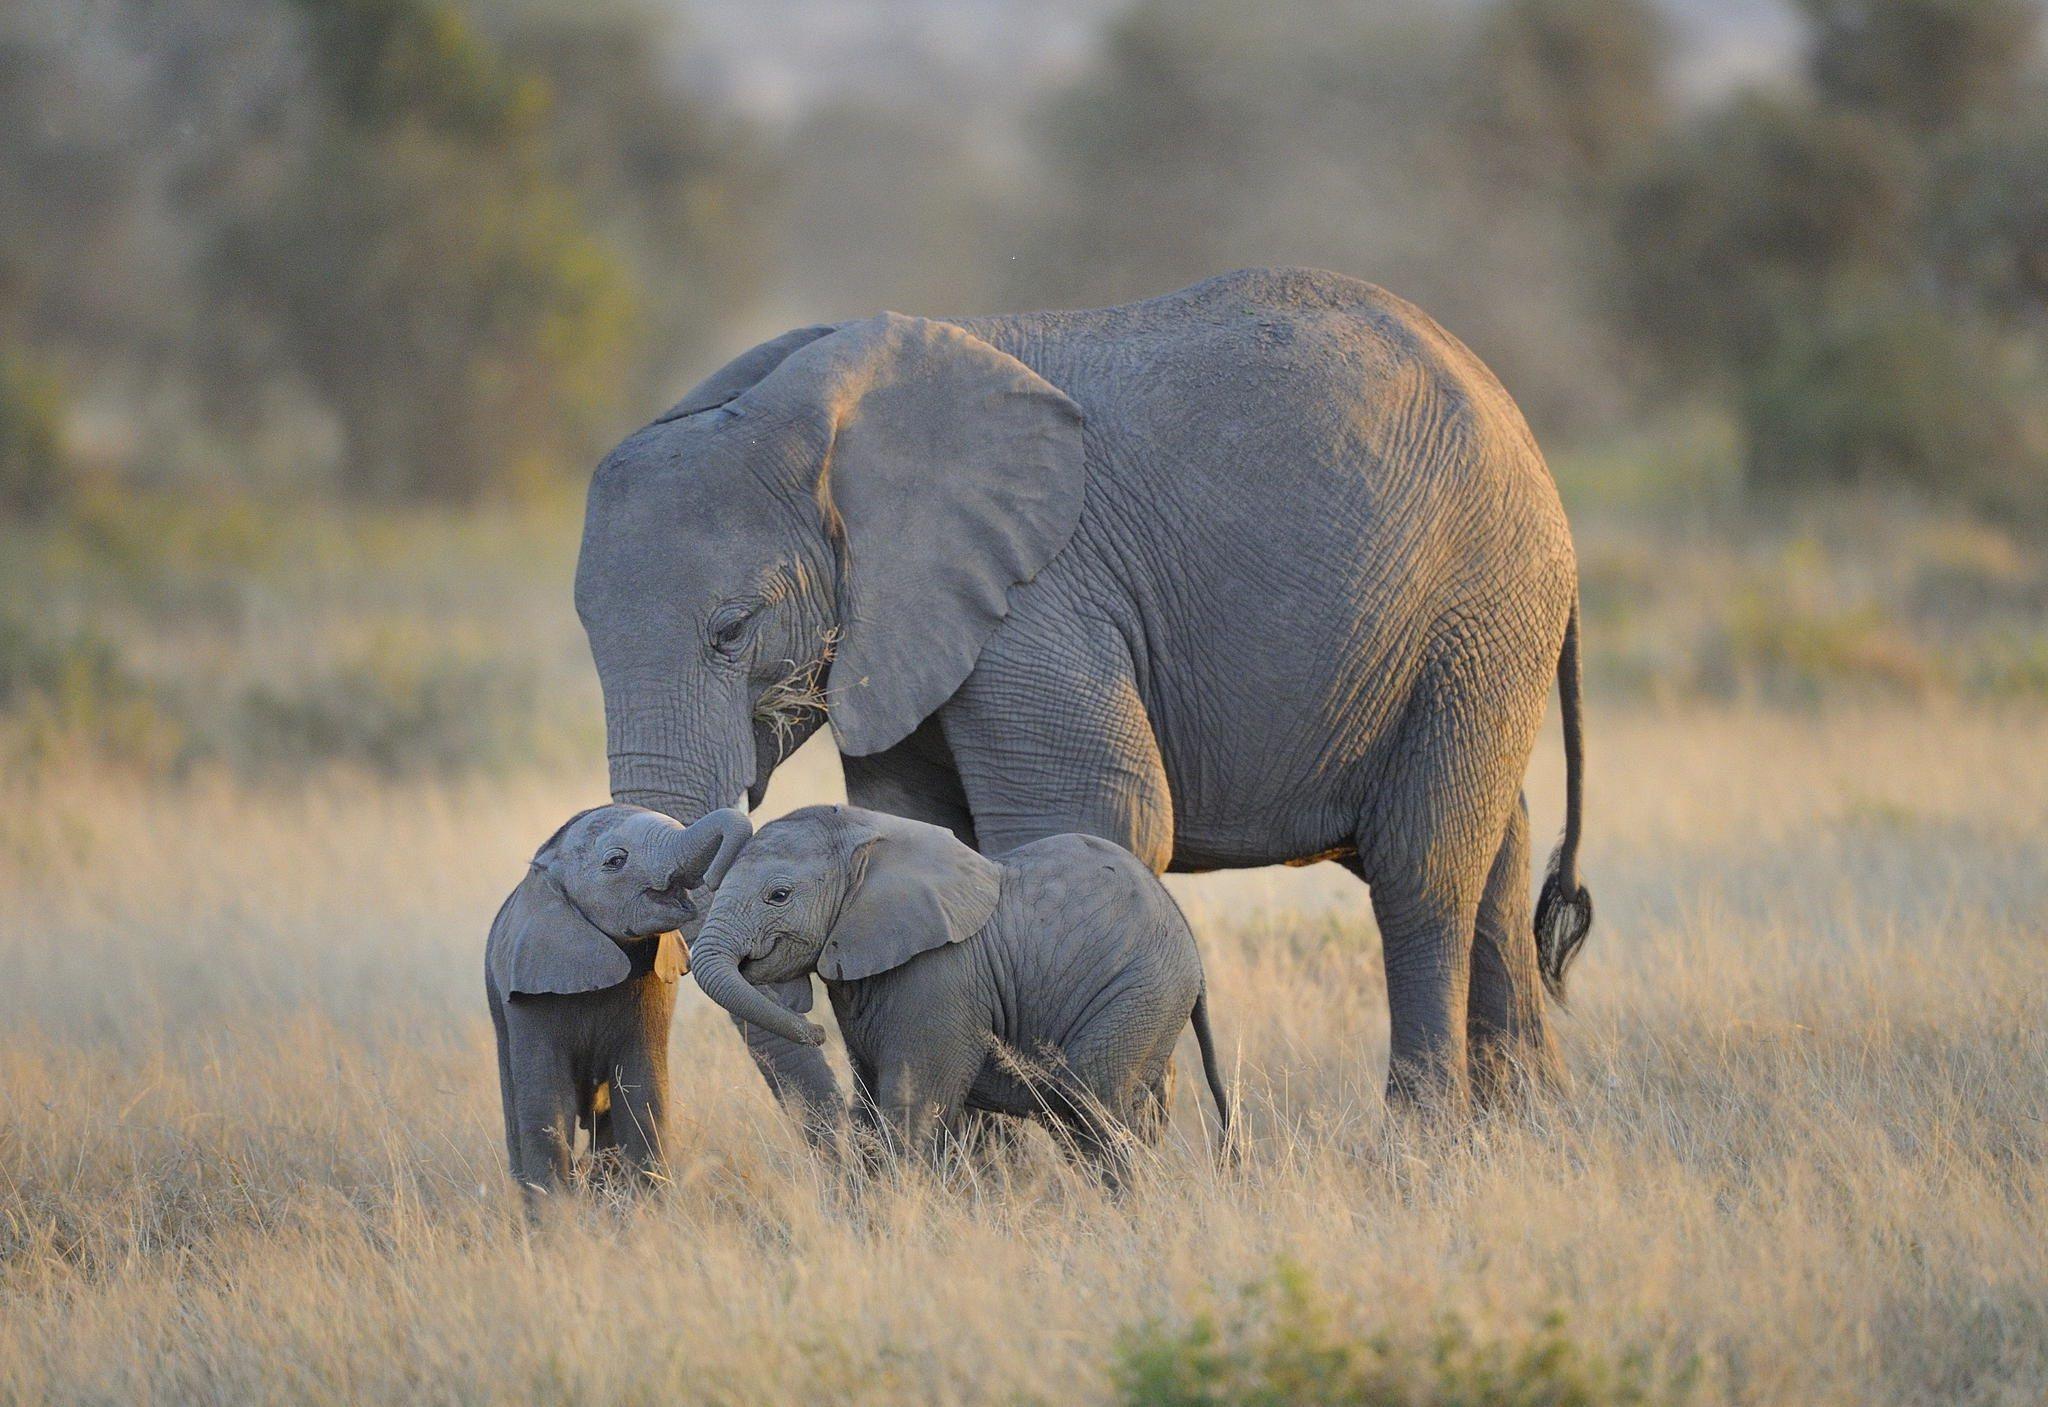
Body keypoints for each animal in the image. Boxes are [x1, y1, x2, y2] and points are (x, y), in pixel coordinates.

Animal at [485, 804, 751, 1203]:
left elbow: (642, 1094)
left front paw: (647, 1209)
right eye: (616, 861)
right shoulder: (528, 991)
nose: (716, 878)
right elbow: (548, 1107)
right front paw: (557, 1218)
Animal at [575, 266, 1593, 1113]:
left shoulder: (1039, 597)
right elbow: (921, 828)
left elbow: (1095, 815)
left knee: (1424, 872)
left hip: (1479, 606)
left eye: (732, 630)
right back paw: (1528, 1131)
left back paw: (1423, 1141)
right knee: (1496, 858)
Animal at [687, 804, 1231, 1178]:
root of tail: (1190, 945)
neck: (869, 837)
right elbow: (868, 1106)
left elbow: (912, 1110)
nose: (814, 1032)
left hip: (1139, 992)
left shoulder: (940, 978)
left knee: (1092, 1106)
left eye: (778, 896)